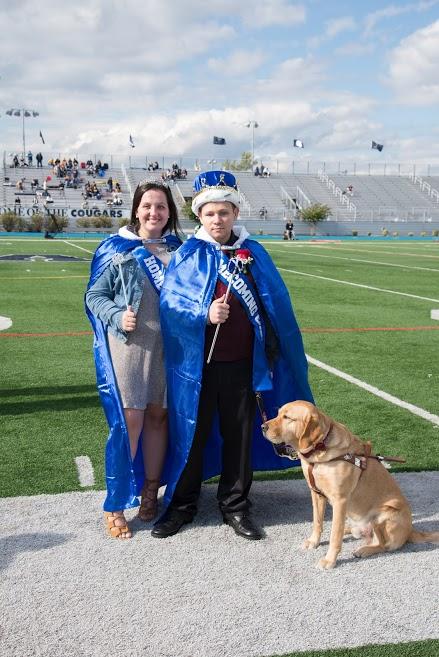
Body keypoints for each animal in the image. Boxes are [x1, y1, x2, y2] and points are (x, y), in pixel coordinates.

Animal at [262, 400, 438, 568]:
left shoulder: (340, 500)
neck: (320, 450)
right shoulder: (316, 494)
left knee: (383, 545)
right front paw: (314, 542)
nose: (262, 426)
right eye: (278, 414)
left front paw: (329, 561)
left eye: (287, 417)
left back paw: (364, 550)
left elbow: (335, 536)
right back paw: (349, 530)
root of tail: (410, 531)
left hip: (385, 514)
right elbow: (318, 523)